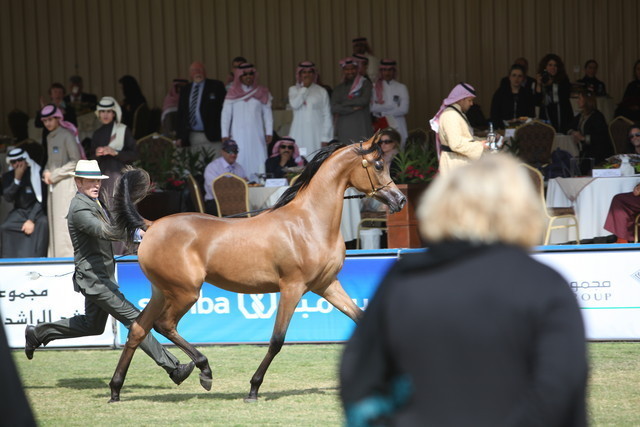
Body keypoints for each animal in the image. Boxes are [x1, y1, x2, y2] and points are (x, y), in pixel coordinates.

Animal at [107, 134, 407, 402]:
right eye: (378, 165)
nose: (400, 200)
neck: (309, 222)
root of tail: (152, 225)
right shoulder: (292, 288)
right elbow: (276, 340)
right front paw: (253, 389)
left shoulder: (326, 285)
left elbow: (359, 317)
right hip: (185, 292)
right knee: (164, 325)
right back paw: (203, 371)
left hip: (161, 291)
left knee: (138, 329)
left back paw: (117, 389)